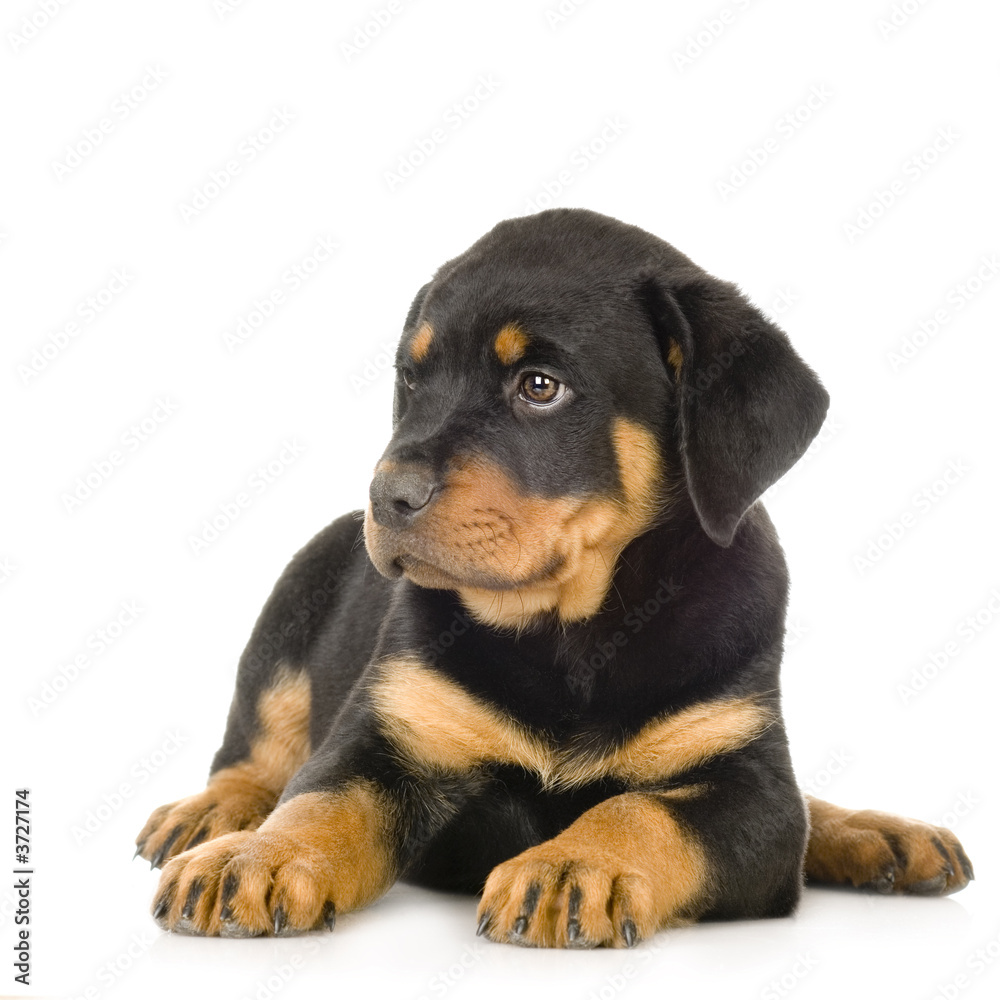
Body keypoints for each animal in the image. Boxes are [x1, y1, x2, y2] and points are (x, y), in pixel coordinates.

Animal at [137, 209, 972, 944]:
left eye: (540, 386)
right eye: (412, 379)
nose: (386, 496)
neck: (568, 629)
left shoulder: (750, 788)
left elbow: (646, 810)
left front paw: (574, 867)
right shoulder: (388, 736)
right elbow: (318, 800)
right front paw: (253, 858)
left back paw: (879, 833)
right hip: (287, 612)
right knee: (255, 753)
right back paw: (214, 816)